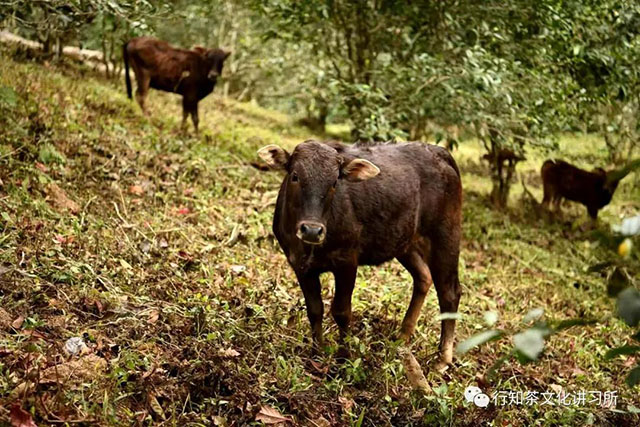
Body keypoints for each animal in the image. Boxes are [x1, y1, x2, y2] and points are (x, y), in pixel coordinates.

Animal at [258, 141, 462, 372]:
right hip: (405, 242)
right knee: (423, 277)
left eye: (334, 182)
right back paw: (401, 337)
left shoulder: (347, 261)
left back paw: (442, 359)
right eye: (295, 176)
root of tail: (440, 152)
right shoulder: (299, 264)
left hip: (446, 234)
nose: (311, 230)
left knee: (450, 292)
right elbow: (315, 309)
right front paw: (316, 356)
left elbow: (341, 312)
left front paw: (343, 360)